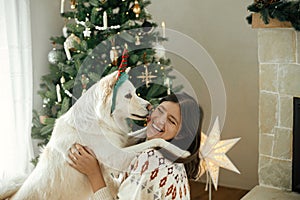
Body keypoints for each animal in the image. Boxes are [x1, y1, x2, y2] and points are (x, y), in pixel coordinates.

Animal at [1, 69, 190, 199]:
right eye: (128, 96)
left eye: (136, 93)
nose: (150, 106)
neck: (99, 120)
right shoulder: (117, 156)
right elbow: (155, 140)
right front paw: (182, 151)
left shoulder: (121, 140)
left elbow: (145, 135)